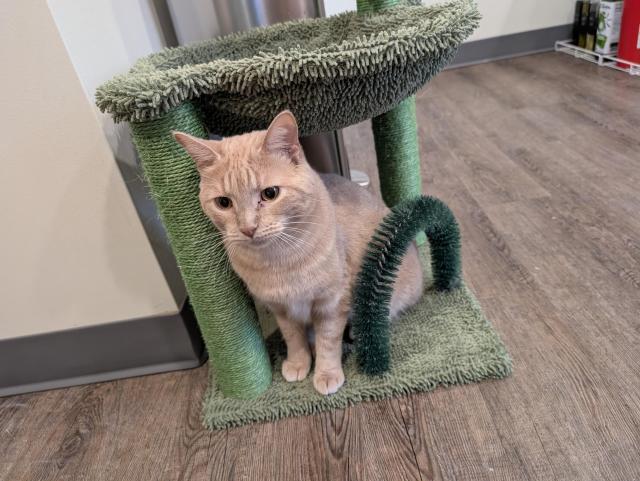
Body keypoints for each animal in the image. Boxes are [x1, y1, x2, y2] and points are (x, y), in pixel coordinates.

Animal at [172, 111, 422, 394]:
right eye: (223, 202)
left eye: (270, 193)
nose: (248, 228)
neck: (278, 261)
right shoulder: (281, 310)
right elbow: (294, 338)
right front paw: (298, 363)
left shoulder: (331, 303)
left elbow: (328, 341)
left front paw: (326, 373)